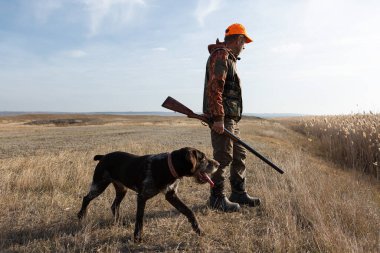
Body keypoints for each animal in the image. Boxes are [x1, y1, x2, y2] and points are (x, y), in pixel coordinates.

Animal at [77, 147, 218, 242]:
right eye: (202, 158)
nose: (218, 164)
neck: (166, 167)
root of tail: (103, 156)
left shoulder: (171, 195)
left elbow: (189, 211)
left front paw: (198, 230)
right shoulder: (142, 197)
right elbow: (140, 218)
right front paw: (137, 237)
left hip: (121, 189)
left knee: (114, 205)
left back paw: (119, 222)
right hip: (99, 185)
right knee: (86, 198)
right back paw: (81, 215)